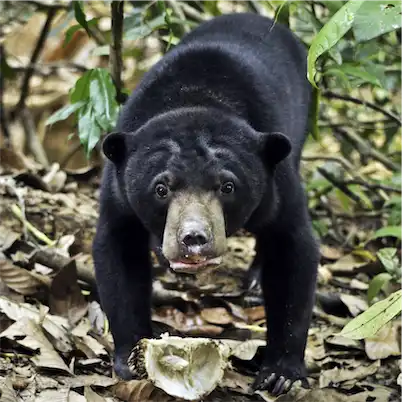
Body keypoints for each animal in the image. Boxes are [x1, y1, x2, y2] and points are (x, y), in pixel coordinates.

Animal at [92, 11, 318, 396]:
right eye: (161, 189)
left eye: (227, 186)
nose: (194, 238)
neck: (196, 99)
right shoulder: (118, 191)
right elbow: (118, 252)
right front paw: (133, 357)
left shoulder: (278, 186)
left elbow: (292, 251)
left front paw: (281, 373)